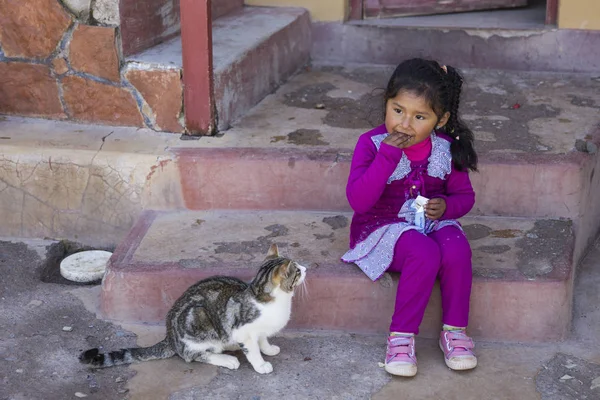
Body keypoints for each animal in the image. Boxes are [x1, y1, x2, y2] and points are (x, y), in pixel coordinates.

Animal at [78, 244, 304, 376]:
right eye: (297, 271)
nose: (306, 268)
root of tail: (170, 336)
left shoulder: (261, 328)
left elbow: (262, 339)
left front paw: (268, 349)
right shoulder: (243, 331)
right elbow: (253, 349)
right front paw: (261, 364)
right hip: (198, 319)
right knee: (192, 355)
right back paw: (227, 359)